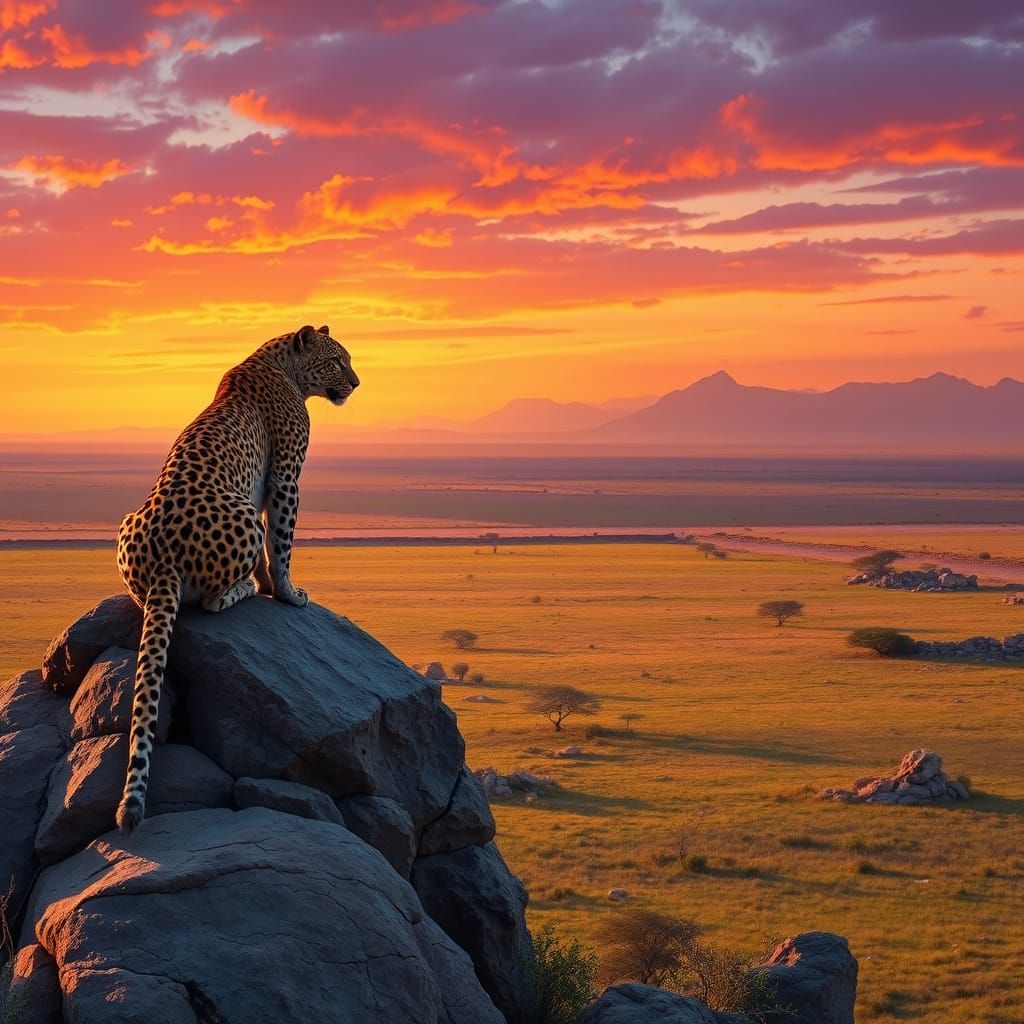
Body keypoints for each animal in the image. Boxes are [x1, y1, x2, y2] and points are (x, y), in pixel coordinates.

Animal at [114, 324, 358, 832]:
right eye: (337, 361)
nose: (357, 382)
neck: (281, 362)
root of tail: (163, 557)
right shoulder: (285, 477)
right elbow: (282, 542)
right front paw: (286, 594)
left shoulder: (269, 483)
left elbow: (273, 550)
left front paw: (270, 585)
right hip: (244, 514)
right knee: (209, 601)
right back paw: (241, 589)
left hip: (126, 528)